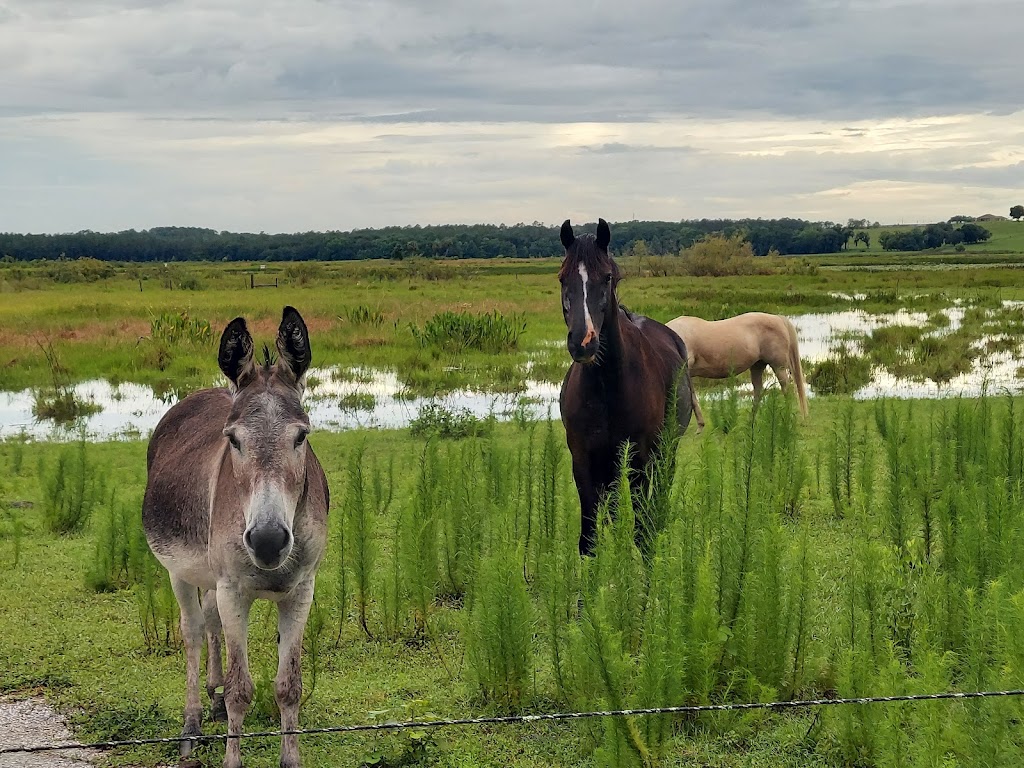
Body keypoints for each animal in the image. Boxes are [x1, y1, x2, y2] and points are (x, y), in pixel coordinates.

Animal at [144, 307, 325, 768]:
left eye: (301, 436)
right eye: (234, 441)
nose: (267, 541)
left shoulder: (301, 591)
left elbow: (289, 687)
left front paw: (290, 759)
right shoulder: (233, 590)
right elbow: (242, 690)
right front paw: (231, 757)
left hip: (212, 578)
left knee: (210, 622)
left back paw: (213, 697)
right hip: (180, 571)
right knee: (192, 630)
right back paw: (191, 724)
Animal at [561, 219, 696, 557]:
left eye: (607, 277)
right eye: (562, 277)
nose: (583, 341)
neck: (608, 388)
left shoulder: (640, 459)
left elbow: (642, 531)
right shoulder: (583, 459)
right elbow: (589, 539)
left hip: (664, 454)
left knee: (656, 505)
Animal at [667, 313, 811, 434]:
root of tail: (778, 318)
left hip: (778, 367)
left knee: (786, 389)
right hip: (757, 366)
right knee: (758, 391)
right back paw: (750, 420)